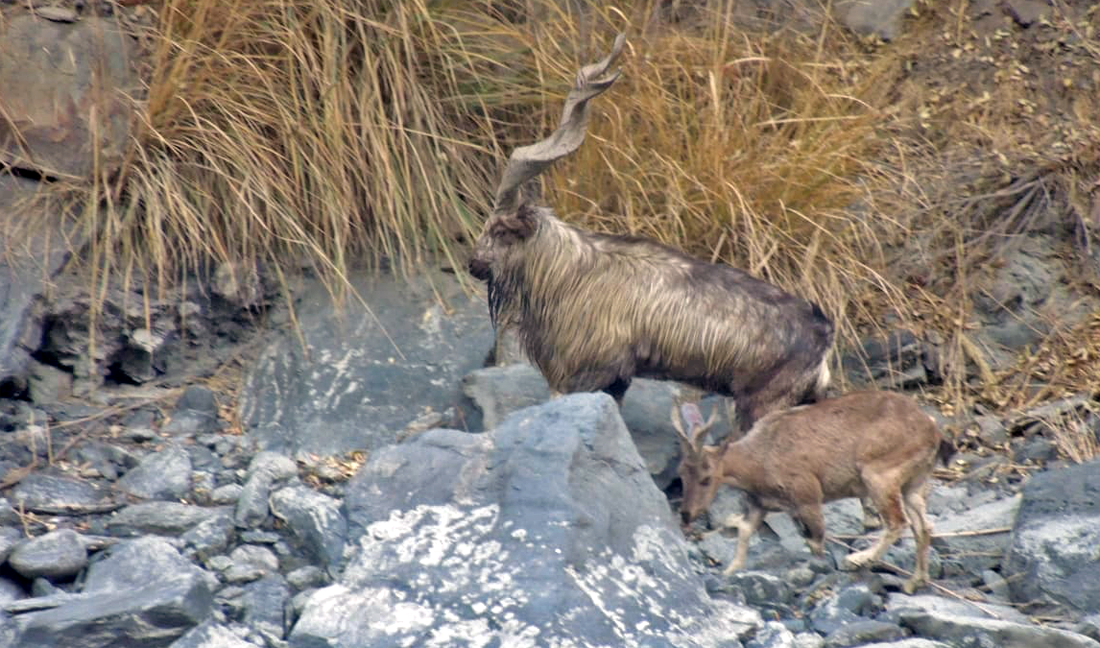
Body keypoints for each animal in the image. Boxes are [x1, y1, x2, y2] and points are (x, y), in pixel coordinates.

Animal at [464, 32, 831, 431]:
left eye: (502, 230)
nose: (473, 265)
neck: (566, 273)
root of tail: (823, 338)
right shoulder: (616, 381)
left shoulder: (584, 373)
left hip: (761, 404)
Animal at [668, 389, 954, 589]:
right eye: (681, 473)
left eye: (706, 478)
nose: (686, 514)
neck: (760, 456)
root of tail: (933, 432)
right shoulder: (761, 504)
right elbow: (745, 532)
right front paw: (730, 570)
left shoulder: (807, 497)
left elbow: (816, 542)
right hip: (913, 484)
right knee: (923, 527)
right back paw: (915, 581)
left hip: (880, 476)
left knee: (897, 522)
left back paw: (858, 560)